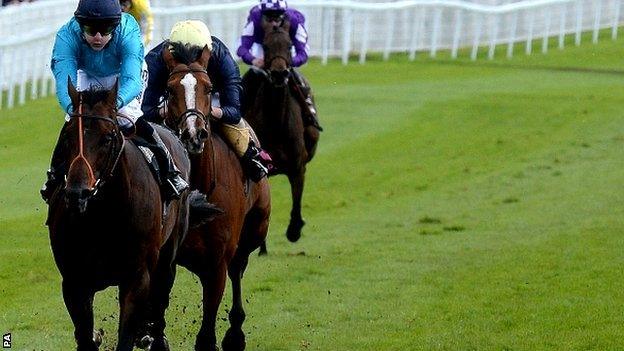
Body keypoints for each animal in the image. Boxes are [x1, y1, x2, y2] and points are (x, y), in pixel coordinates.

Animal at [45, 81, 193, 350]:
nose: (77, 192)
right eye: (67, 136)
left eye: (108, 137)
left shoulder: (136, 278)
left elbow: (126, 335)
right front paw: (94, 336)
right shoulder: (74, 281)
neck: (104, 216)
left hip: (168, 254)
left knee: (160, 298)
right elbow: (85, 335)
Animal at [150, 43, 272, 351]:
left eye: (209, 88)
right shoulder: (164, 256)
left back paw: (236, 333)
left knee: (238, 269)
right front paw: (152, 335)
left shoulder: (216, 263)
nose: (193, 134)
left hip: (253, 231)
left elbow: (207, 332)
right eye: (169, 90)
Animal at [243, 22, 320, 253]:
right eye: (266, 45)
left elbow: (297, 200)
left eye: (289, 45)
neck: (276, 122)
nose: (279, 73)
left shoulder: (298, 167)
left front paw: (294, 230)